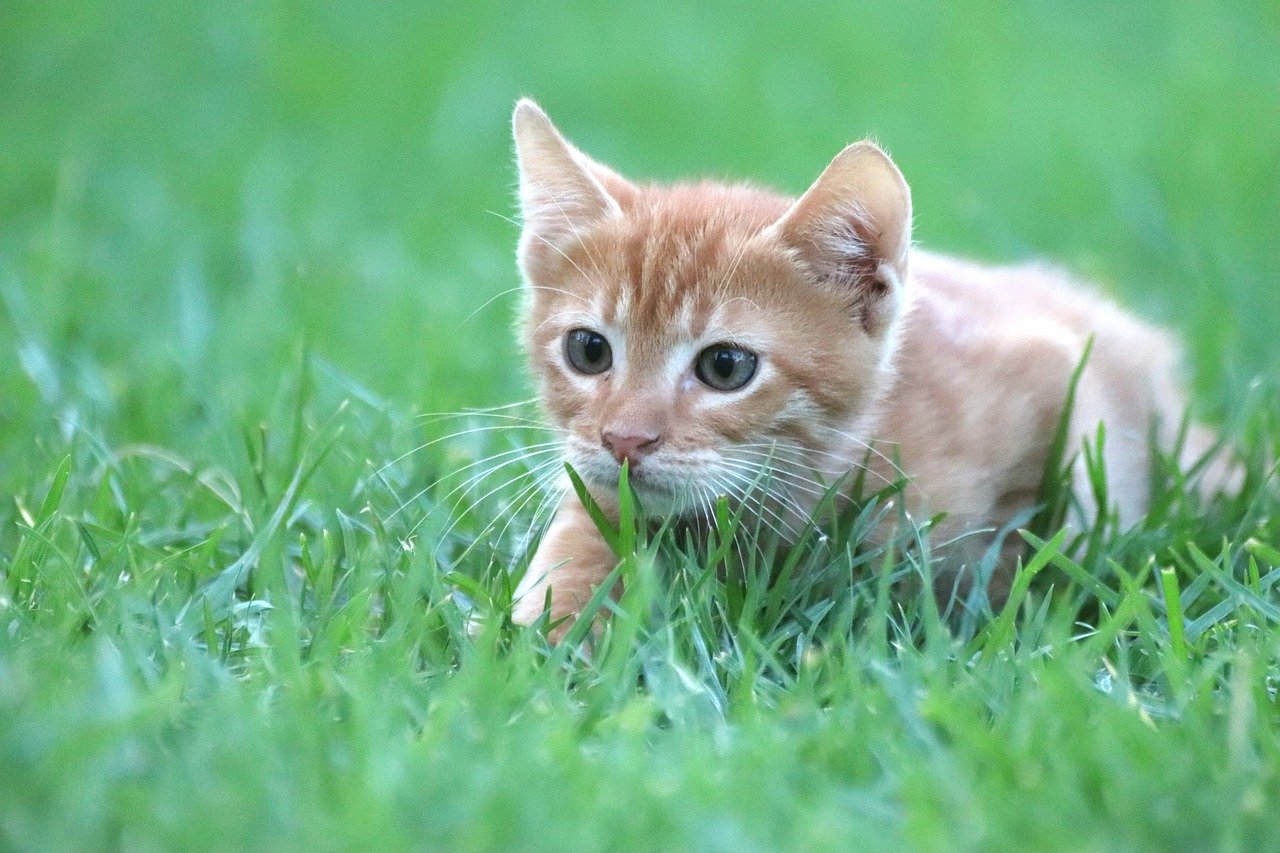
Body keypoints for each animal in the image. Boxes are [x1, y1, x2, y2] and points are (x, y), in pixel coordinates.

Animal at [504, 97, 1223, 637]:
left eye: (726, 366)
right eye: (588, 351)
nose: (625, 440)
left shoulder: (1057, 376)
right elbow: (583, 536)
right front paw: (554, 625)